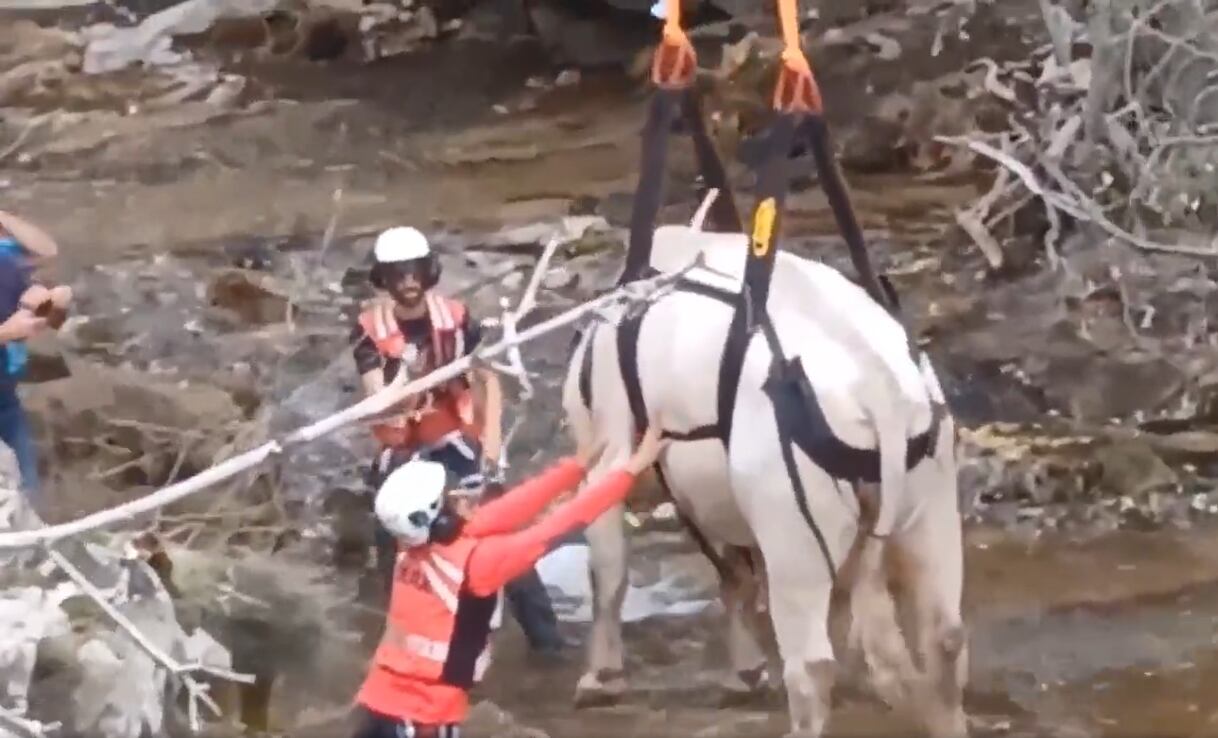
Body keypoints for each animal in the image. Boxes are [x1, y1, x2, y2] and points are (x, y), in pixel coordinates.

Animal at [560, 222, 969, 738]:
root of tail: (882, 393)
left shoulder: (607, 457)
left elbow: (609, 574)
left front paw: (600, 678)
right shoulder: (720, 498)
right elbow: (736, 576)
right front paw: (746, 669)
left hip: (793, 530)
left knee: (812, 666)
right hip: (931, 506)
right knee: (943, 639)